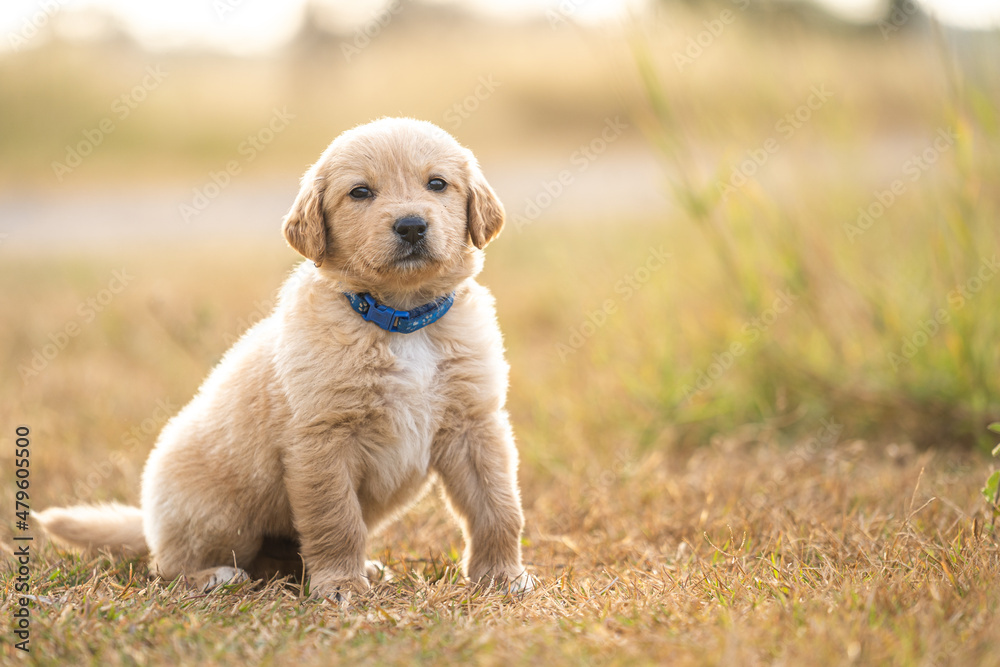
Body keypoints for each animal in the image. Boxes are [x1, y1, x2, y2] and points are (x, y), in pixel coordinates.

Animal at [36, 116, 536, 600]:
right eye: (360, 192)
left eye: (437, 184)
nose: (411, 225)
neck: (400, 320)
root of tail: (148, 522)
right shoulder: (323, 439)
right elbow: (337, 521)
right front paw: (341, 585)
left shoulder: (475, 426)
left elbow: (498, 509)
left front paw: (503, 576)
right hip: (217, 517)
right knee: (167, 567)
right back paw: (215, 577)